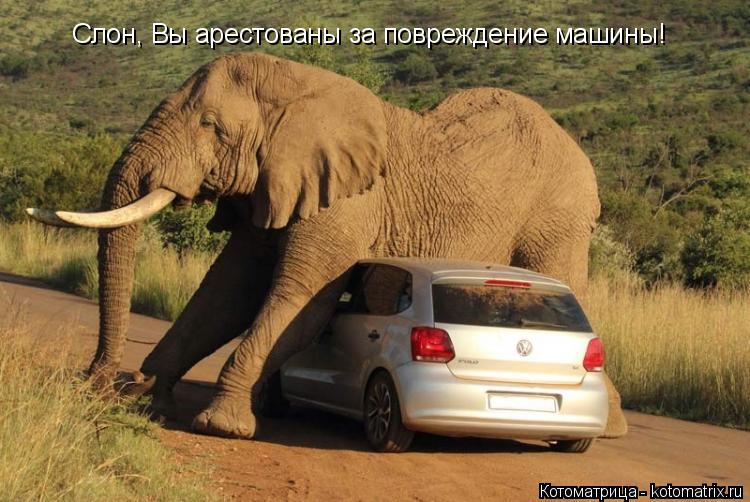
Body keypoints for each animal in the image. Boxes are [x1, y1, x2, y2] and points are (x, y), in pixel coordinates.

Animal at [28, 52, 627, 439]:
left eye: (210, 126)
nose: (96, 383)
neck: (299, 86)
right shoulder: (273, 185)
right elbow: (226, 295)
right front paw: (152, 396)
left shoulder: (347, 202)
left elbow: (301, 299)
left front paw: (220, 424)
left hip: (558, 215)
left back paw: (612, 426)